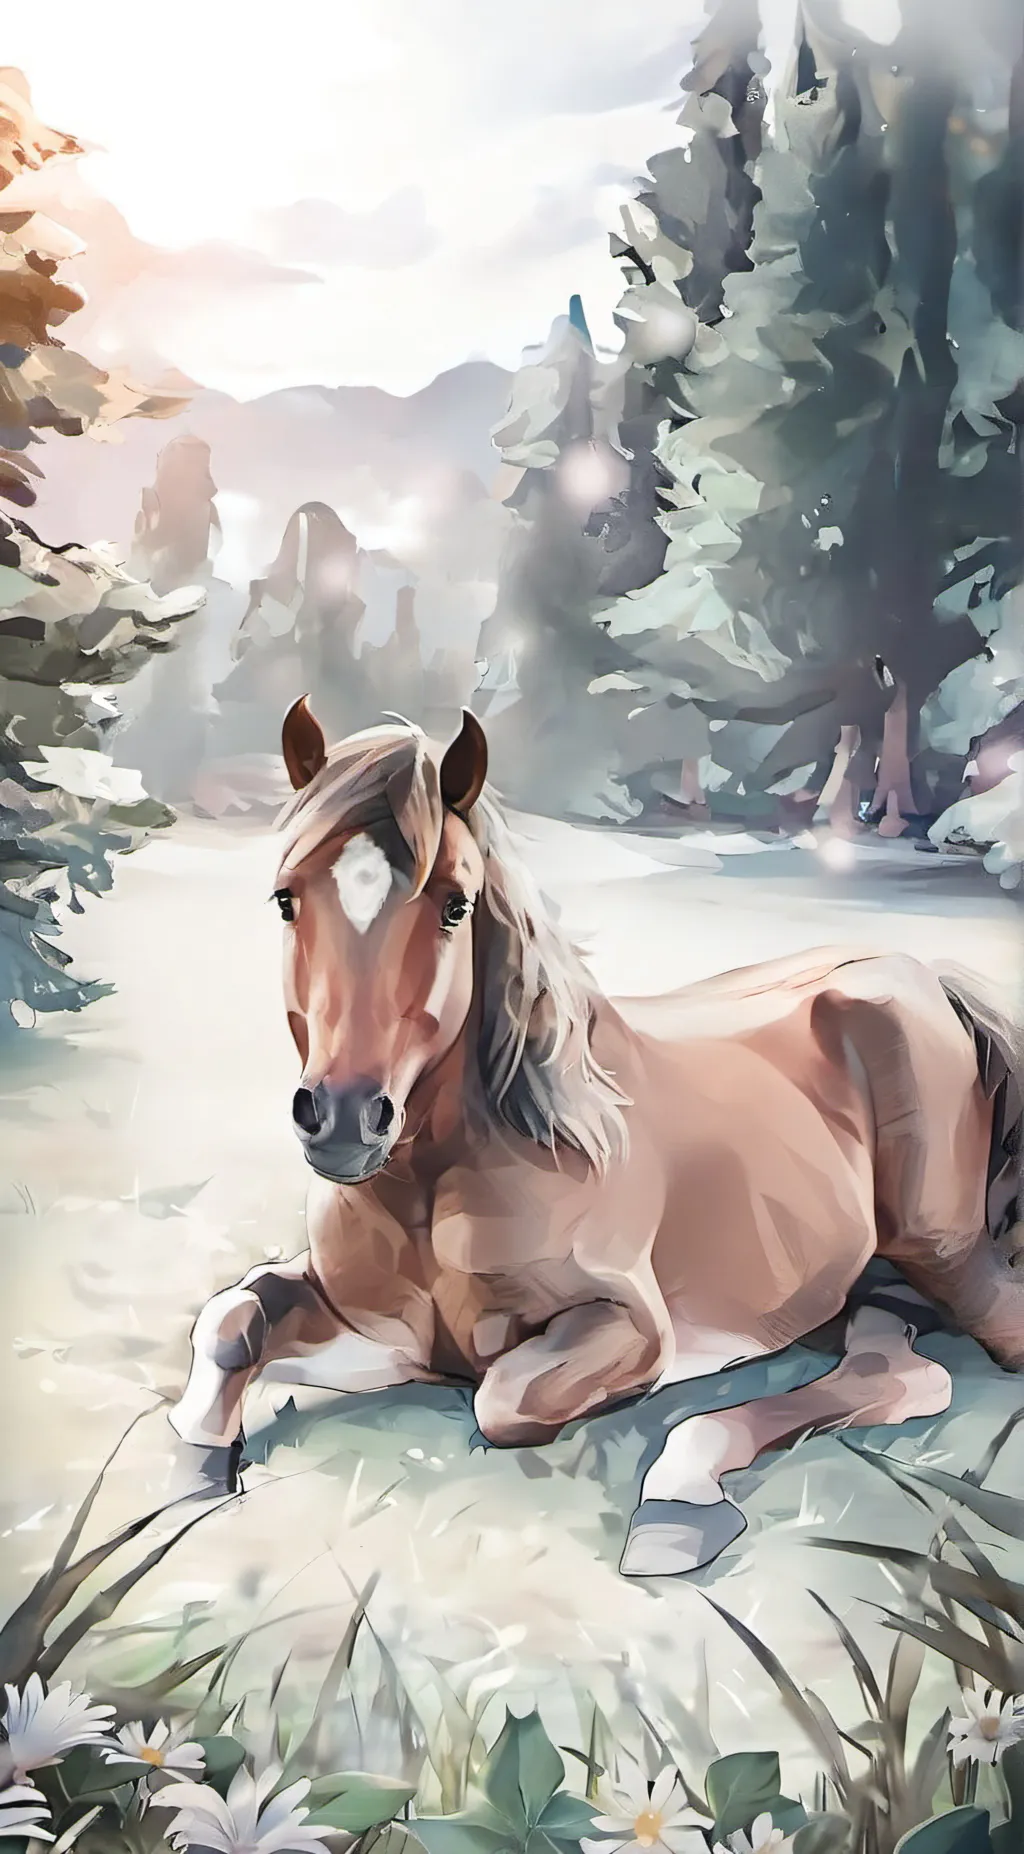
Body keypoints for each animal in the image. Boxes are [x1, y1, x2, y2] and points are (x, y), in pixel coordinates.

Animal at [168, 700, 1024, 1577]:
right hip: (855, 1287)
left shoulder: (630, 1326)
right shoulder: (376, 1326)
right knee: (897, 1369)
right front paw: (197, 1466)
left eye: (455, 905)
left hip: (946, 1255)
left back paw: (681, 1493)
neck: (443, 1179)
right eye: (285, 899)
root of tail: (925, 977)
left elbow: (501, 1396)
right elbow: (234, 1318)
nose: (343, 1119)